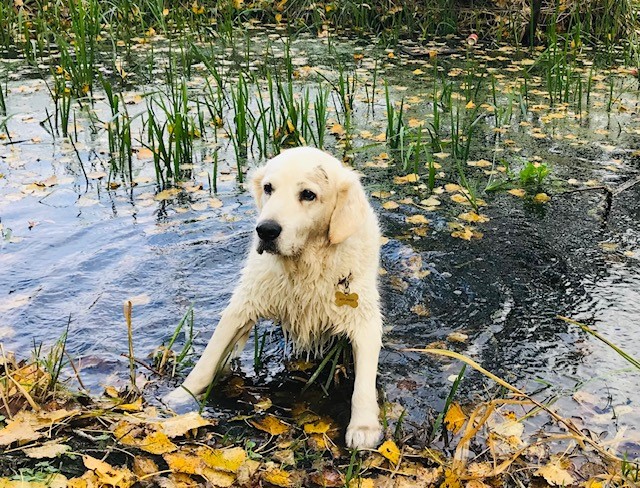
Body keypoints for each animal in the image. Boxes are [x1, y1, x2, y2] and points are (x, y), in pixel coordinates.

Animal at [165, 146, 384, 450]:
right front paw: (180, 395)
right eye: (269, 188)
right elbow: (208, 359)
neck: (304, 266)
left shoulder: (364, 318)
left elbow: (364, 381)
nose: (266, 230)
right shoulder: (245, 303)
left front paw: (364, 426)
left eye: (308, 194)